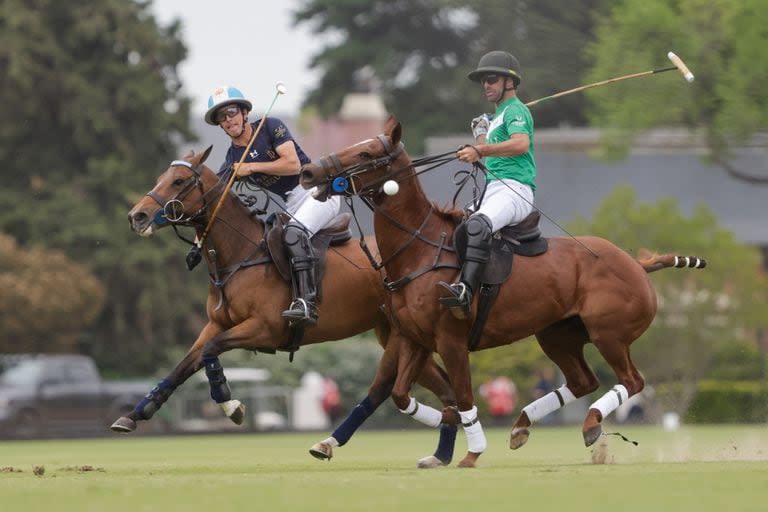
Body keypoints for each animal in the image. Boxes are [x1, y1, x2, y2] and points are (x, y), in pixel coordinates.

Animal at [112, 146, 460, 466]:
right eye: (161, 177)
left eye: (179, 181)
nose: (136, 217)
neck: (241, 254)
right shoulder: (217, 323)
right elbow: (184, 364)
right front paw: (134, 415)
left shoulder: (264, 329)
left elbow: (211, 350)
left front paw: (231, 405)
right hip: (397, 333)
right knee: (443, 389)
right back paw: (441, 454)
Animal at [296, 116, 704, 468]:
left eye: (366, 153)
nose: (309, 172)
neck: (419, 250)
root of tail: (636, 264)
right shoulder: (414, 338)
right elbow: (398, 394)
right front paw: (445, 434)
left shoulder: (450, 340)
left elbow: (463, 396)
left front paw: (470, 452)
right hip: (556, 334)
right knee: (583, 381)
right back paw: (523, 425)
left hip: (609, 333)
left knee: (632, 381)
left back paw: (589, 425)